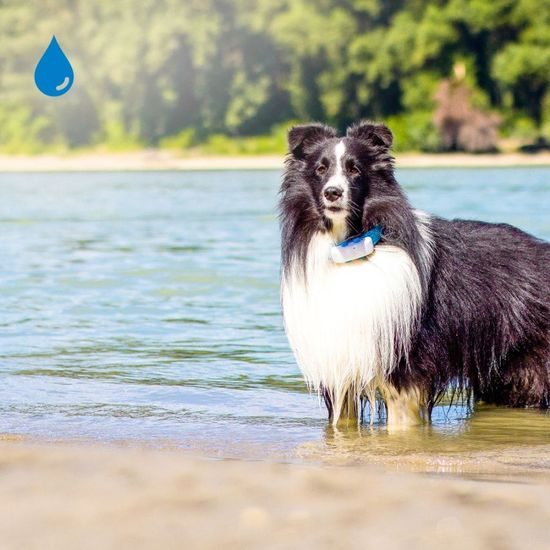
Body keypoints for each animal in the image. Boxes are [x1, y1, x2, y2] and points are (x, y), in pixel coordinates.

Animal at [280, 121, 550, 430]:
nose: (333, 193)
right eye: (320, 169)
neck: (351, 248)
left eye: (355, 169)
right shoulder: (341, 369)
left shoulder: (404, 372)